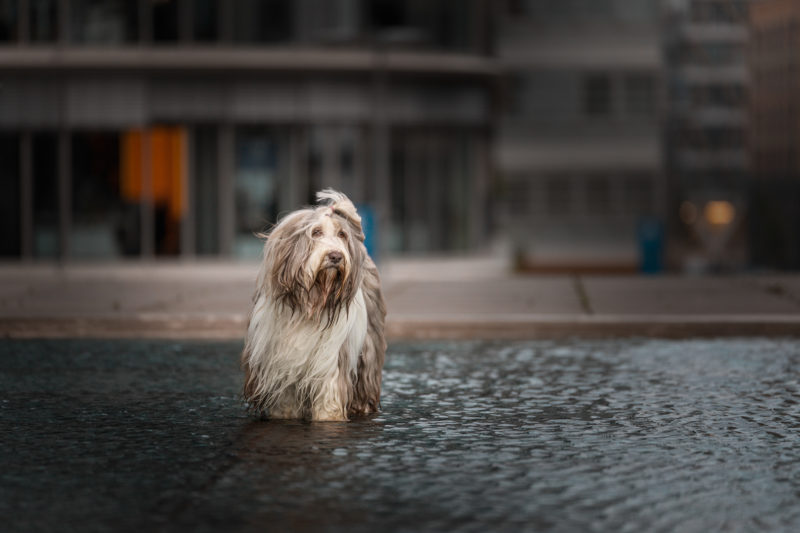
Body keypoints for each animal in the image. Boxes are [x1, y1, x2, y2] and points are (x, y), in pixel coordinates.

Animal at [239, 190, 386, 420]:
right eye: (316, 232)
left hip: (369, 347)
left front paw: (328, 418)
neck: (310, 304)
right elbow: (285, 399)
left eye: (342, 235)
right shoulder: (281, 362)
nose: (335, 256)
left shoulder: (331, 360)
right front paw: (284, 415)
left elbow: (329, 394)